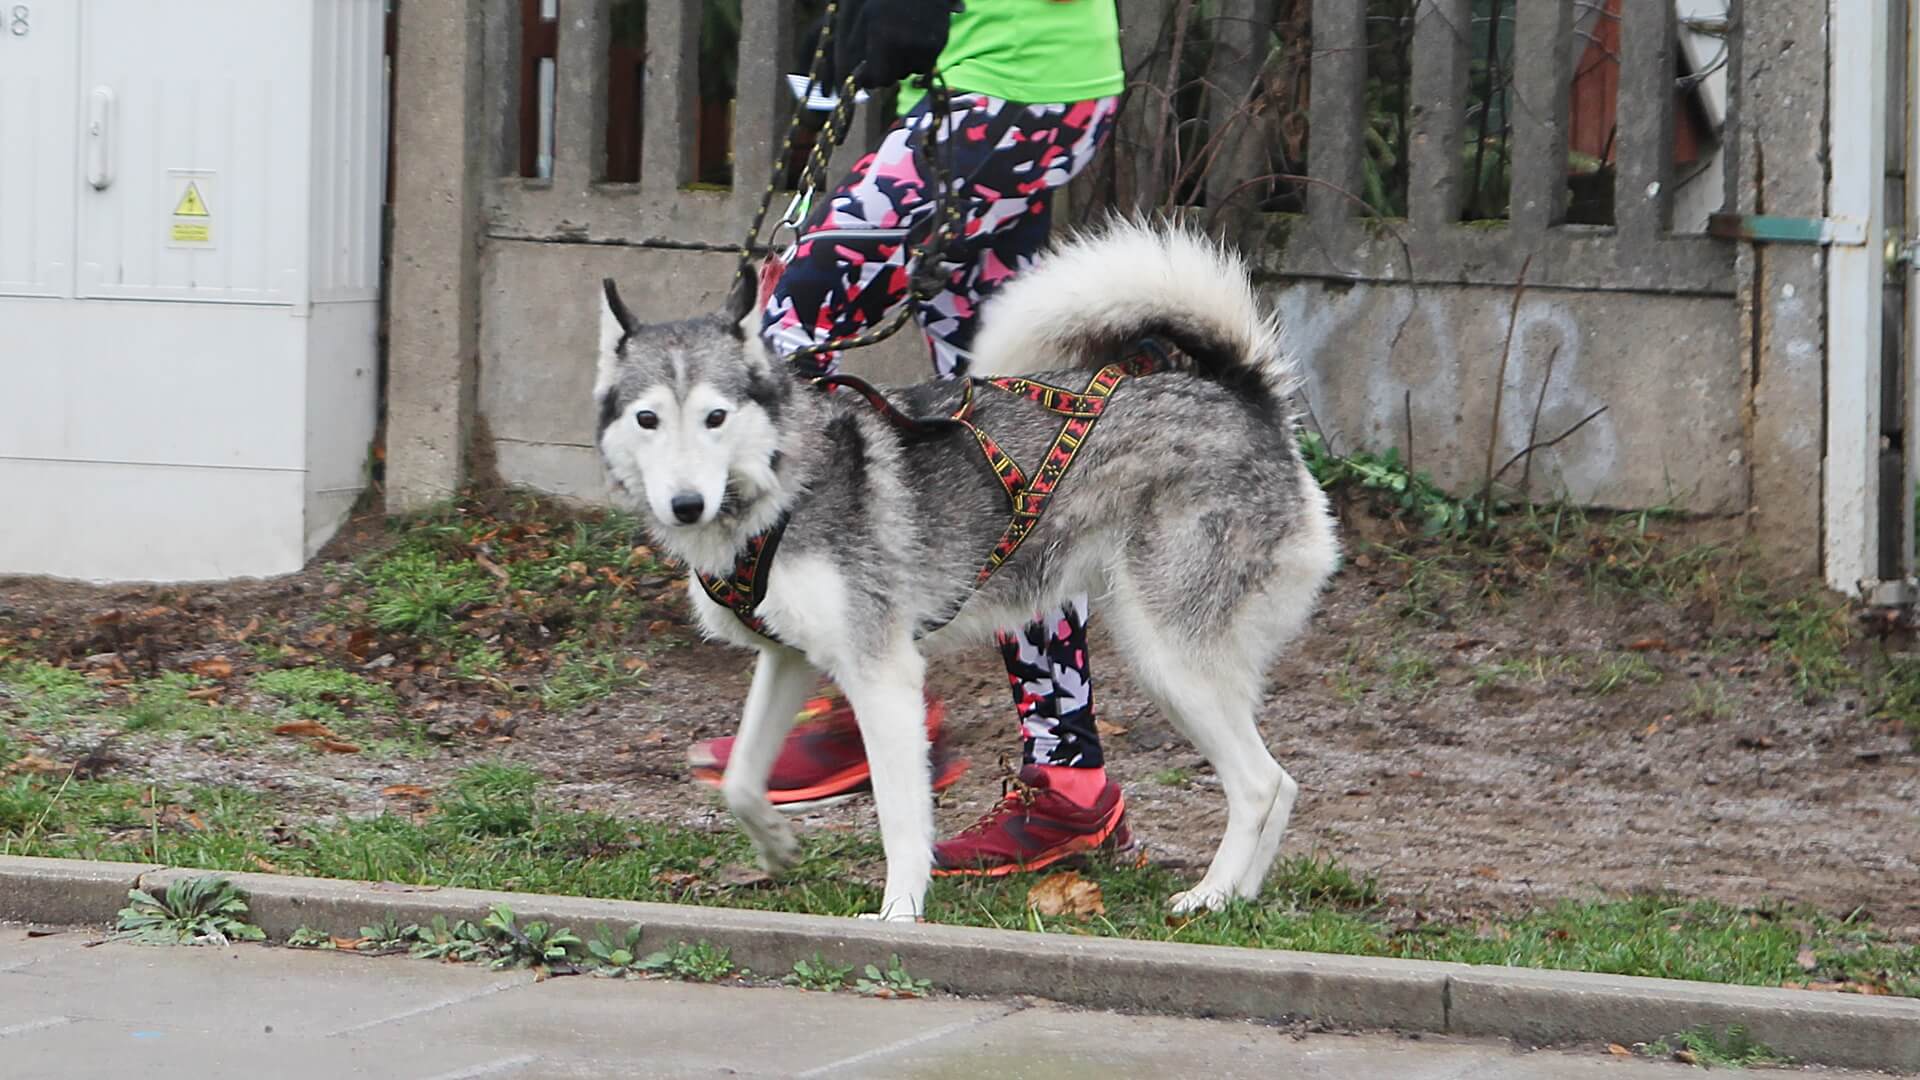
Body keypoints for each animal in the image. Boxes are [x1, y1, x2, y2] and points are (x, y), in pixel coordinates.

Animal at [595, 220, 1339, 921]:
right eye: (648, 418)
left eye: (716, 417)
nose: (685, 504)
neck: (781, 480)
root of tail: (1244, 394)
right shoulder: (791, 660)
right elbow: (743, 780)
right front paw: (776, 845)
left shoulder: (883, 676)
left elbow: (901, 819)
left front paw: (897, 915)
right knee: (1281, 786)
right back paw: (1237, 898)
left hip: (1168, 658)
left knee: (1261, 784)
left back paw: (1209, 897)